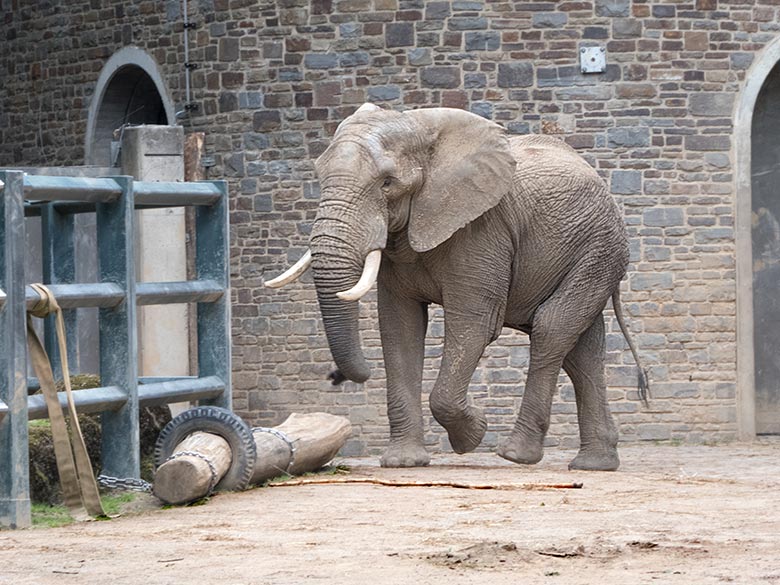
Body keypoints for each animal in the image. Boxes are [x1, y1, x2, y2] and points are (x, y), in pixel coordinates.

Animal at [266, 104, 648, 470]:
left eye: (387, 183)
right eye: (318, 175)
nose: (335, 376)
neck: (418, 129)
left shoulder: (483, 229)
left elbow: (473, 322)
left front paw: (472, 436)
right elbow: (399, 327)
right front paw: (404, 462)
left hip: (600, 249)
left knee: (551, 328)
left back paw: (517, 455)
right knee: (581, 350)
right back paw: (594, 465)